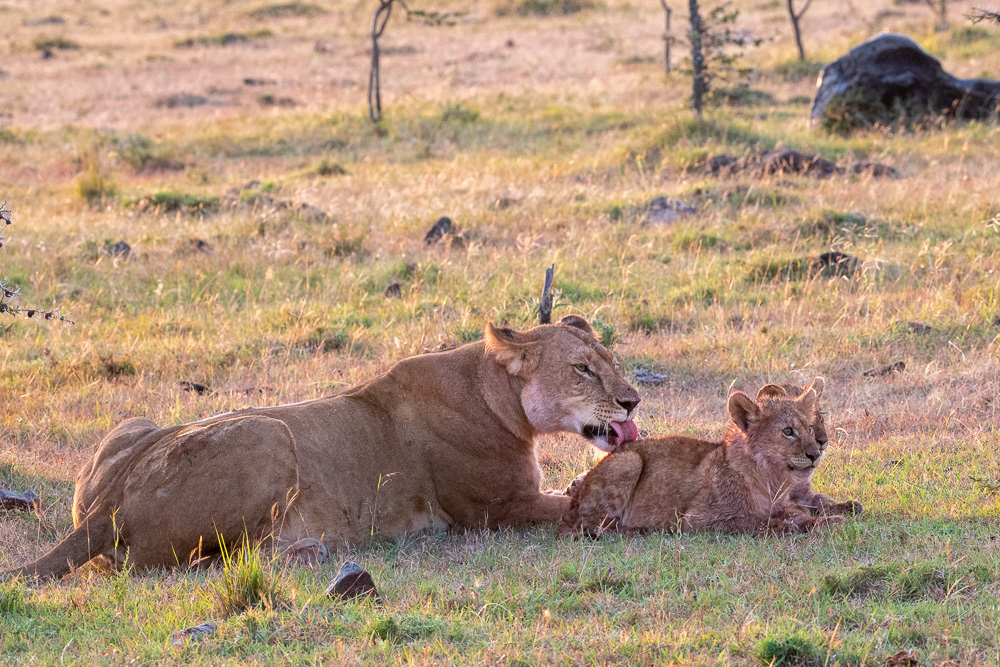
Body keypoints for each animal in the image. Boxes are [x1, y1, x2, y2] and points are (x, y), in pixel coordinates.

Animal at [3, 316, 640, 580]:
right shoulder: (500, 511)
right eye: (583, 369)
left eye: (610, 360)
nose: (633, 402)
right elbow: (576, 505)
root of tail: (107, 501)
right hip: (268, 435)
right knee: (214, 560)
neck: (497, 393)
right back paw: (311, 551)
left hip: (136, 424)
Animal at [558, 377, 844, 538]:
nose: (816, 452)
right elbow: (757, 521)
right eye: (787, 432)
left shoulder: (785, 502)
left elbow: (798, 511)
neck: (771, 477)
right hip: (628, 462)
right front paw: (792, 526)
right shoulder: (698, 519)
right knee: (587, 526)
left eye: (809, 427)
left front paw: (830, 520)